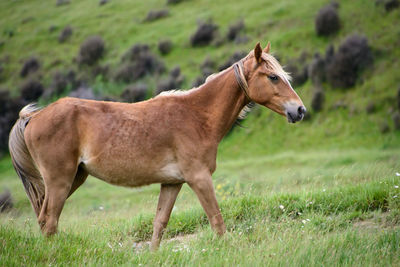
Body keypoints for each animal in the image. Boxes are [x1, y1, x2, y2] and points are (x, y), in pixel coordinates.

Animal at [8, 42, 304, 251]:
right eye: (273, 77)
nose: (299, 110)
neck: (196, 115)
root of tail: (33, 117)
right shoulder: (199, 179)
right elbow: (216, 220)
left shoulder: (172, 183)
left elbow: (159, 224)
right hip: (60, 180)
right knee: (49, 221)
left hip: (73, 179)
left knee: (45, 219)